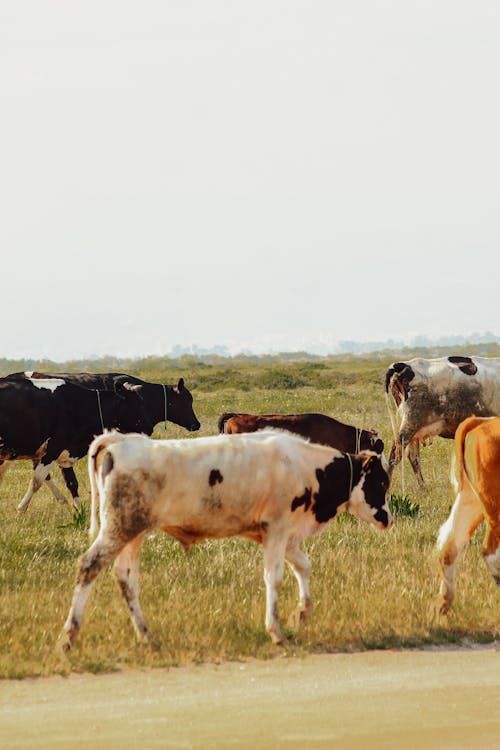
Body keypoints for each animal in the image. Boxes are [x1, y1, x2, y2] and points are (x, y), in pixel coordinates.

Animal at [61, 428, 390, 652]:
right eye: (381, 482)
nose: (387, 518)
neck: (306, 466)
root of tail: (123, 441)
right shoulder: (277, 529)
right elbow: (274, 577)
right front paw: (276, 630)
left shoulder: (285, 536)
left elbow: (304, 566)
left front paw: (301, 612)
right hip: (117, 530)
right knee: (89, 567)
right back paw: (69, 637)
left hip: (132, 534)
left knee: (127, 581)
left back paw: (147, 637)